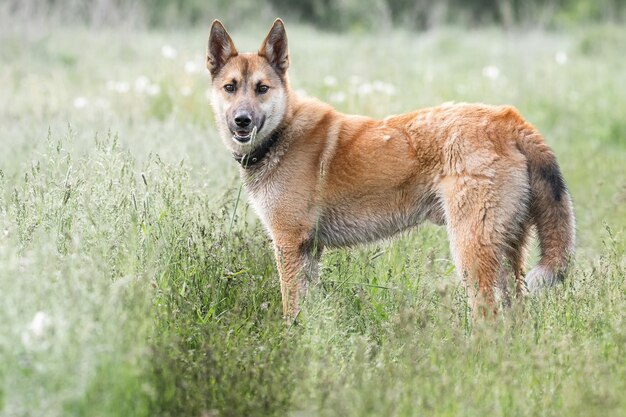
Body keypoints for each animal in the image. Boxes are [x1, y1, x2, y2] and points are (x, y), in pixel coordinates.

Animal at [204, 18, 572, 318]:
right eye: (230, 87)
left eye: (262, 89)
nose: (242, 120)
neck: (282, 132)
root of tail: (509, 120)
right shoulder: (309, 251)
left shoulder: (289, 244)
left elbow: (290, 309)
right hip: (508, 256)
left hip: (472, 252)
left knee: (489, 318)